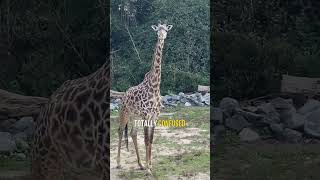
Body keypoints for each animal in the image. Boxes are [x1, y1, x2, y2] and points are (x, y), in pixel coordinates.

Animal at [117, 21, 174, 174]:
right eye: (157, 30)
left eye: (166, 30)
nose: (162, 36)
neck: (155, 86)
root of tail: (123, 95)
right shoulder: (146, 115)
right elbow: (147, 140)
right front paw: (149, 169)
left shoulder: (155, 116)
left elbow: (151, 140)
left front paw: (149, 165)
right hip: (124, 113)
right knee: (120, 131)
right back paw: (118, 163)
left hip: (134, 116)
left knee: (132, 133)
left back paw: (141, 164)